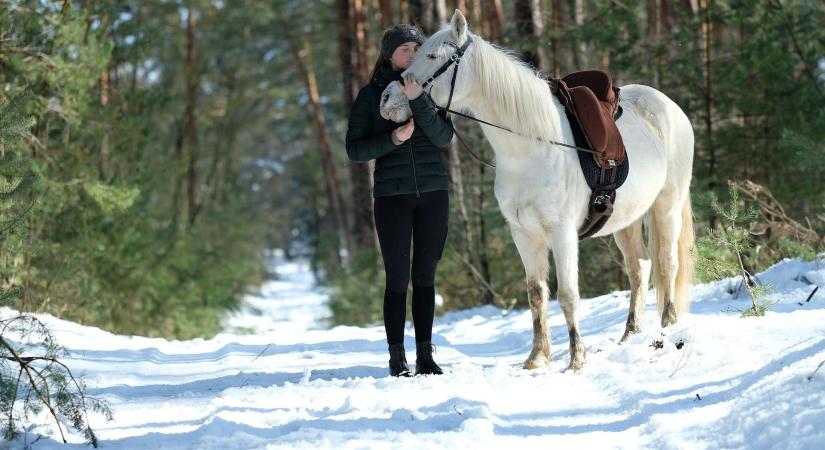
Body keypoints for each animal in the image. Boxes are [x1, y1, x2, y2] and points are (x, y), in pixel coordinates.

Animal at [380, 10, 696, 370]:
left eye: (432, 56)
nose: (387, 99)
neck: (531, 147)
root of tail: (670, 106)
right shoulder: (523, 233)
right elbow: (536, 294)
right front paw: (536, 358)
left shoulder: (562, 232)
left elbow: (568, 295)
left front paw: (576, 360)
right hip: (626, 220)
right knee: (640, 267)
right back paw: (630, 335)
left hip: (667, 206)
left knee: (667, 263)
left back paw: (668, 327)